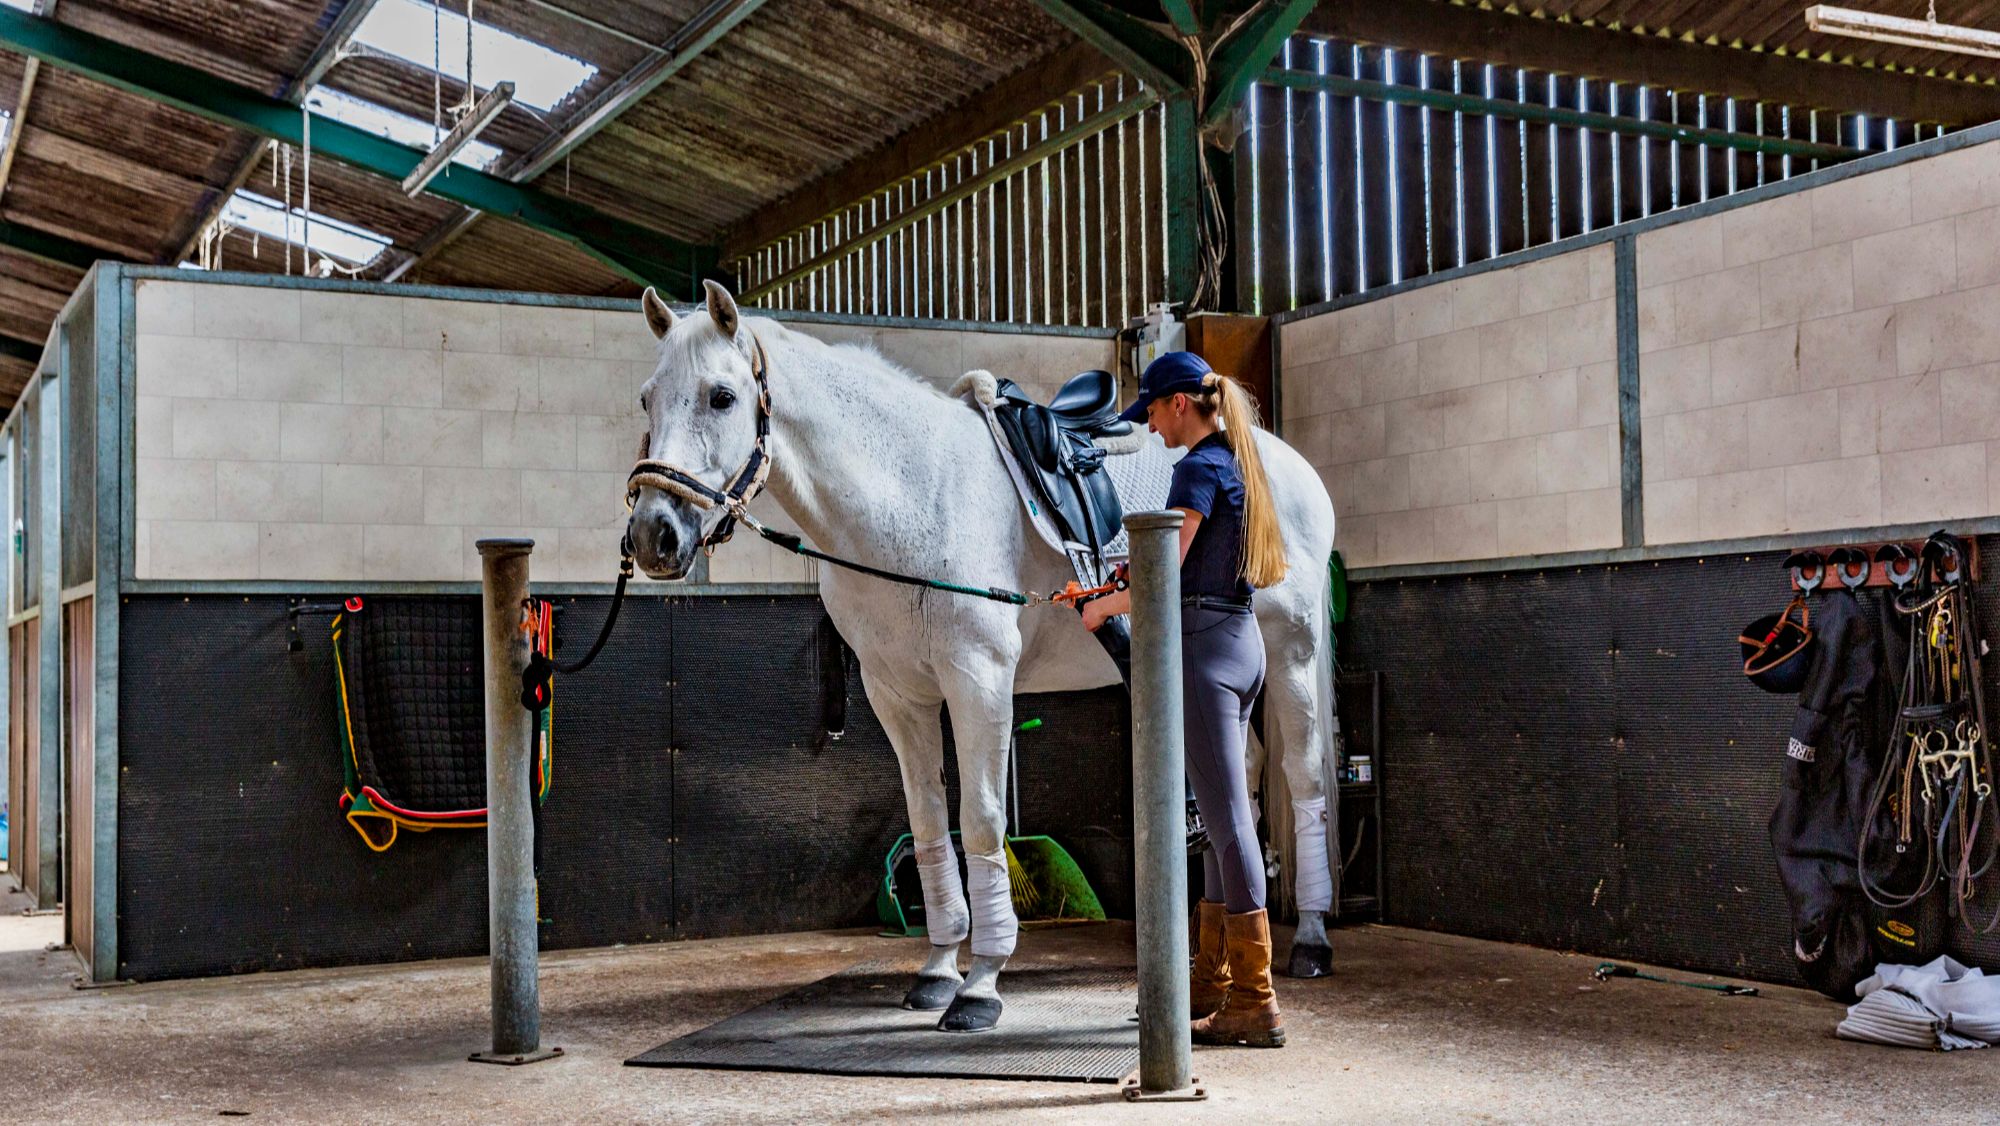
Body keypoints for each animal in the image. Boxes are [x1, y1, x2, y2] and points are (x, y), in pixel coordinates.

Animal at [626, 281, 1338, 1032]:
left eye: (722, 396)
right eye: (648, 399)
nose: (652, 535)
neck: (911, 494)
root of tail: (1283, 462)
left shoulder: (979, 681)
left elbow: (982, 824)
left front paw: (983, 983)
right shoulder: (898, 696)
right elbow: (930, 827)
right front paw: (940, 969)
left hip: (1289, 650)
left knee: (1302, 777)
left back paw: (1312, 940)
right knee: (1246, 777)